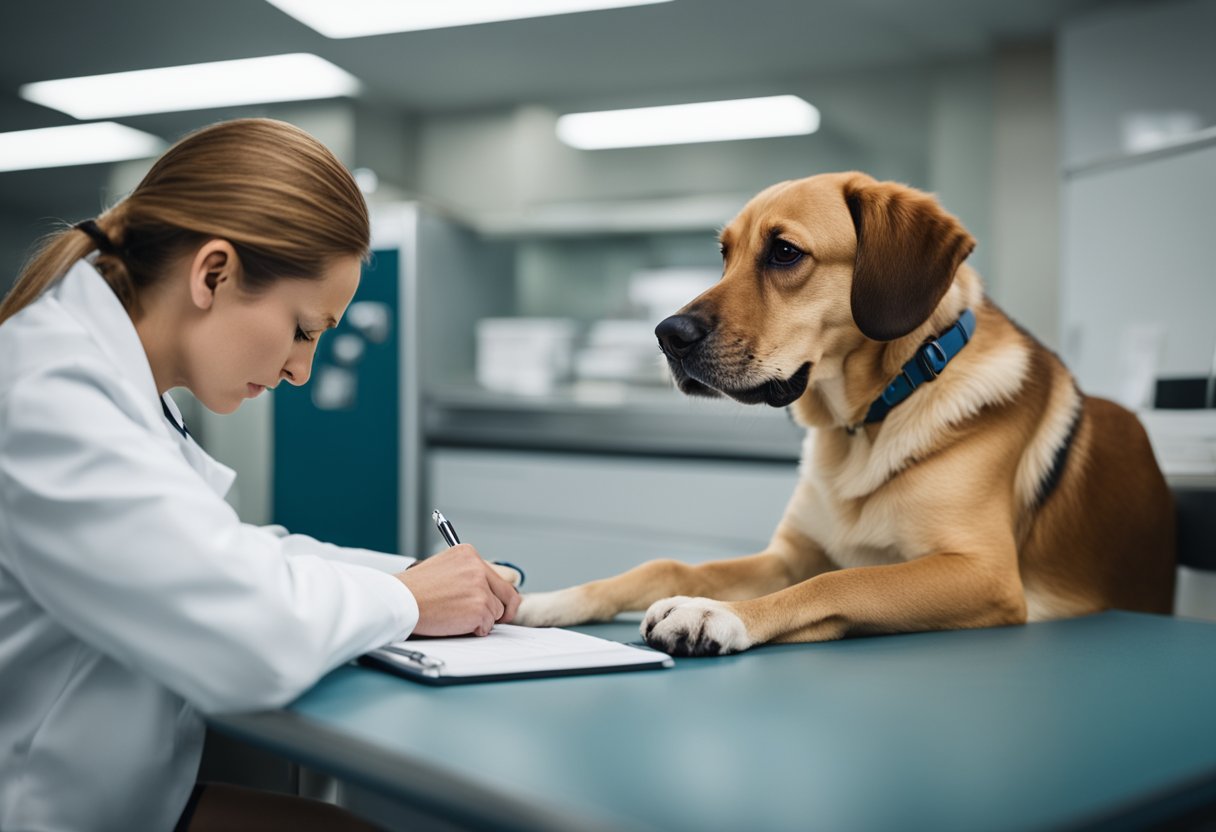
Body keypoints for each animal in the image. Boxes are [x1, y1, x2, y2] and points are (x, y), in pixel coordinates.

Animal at [508, 172, 1172, 656]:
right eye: (724, 254)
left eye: (783, 252)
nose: (666, 334)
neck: (867, 422)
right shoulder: (788, 557)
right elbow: (665, 561)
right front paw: (548, 600)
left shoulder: (982, 573)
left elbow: (842, 580)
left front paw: (714, 612)